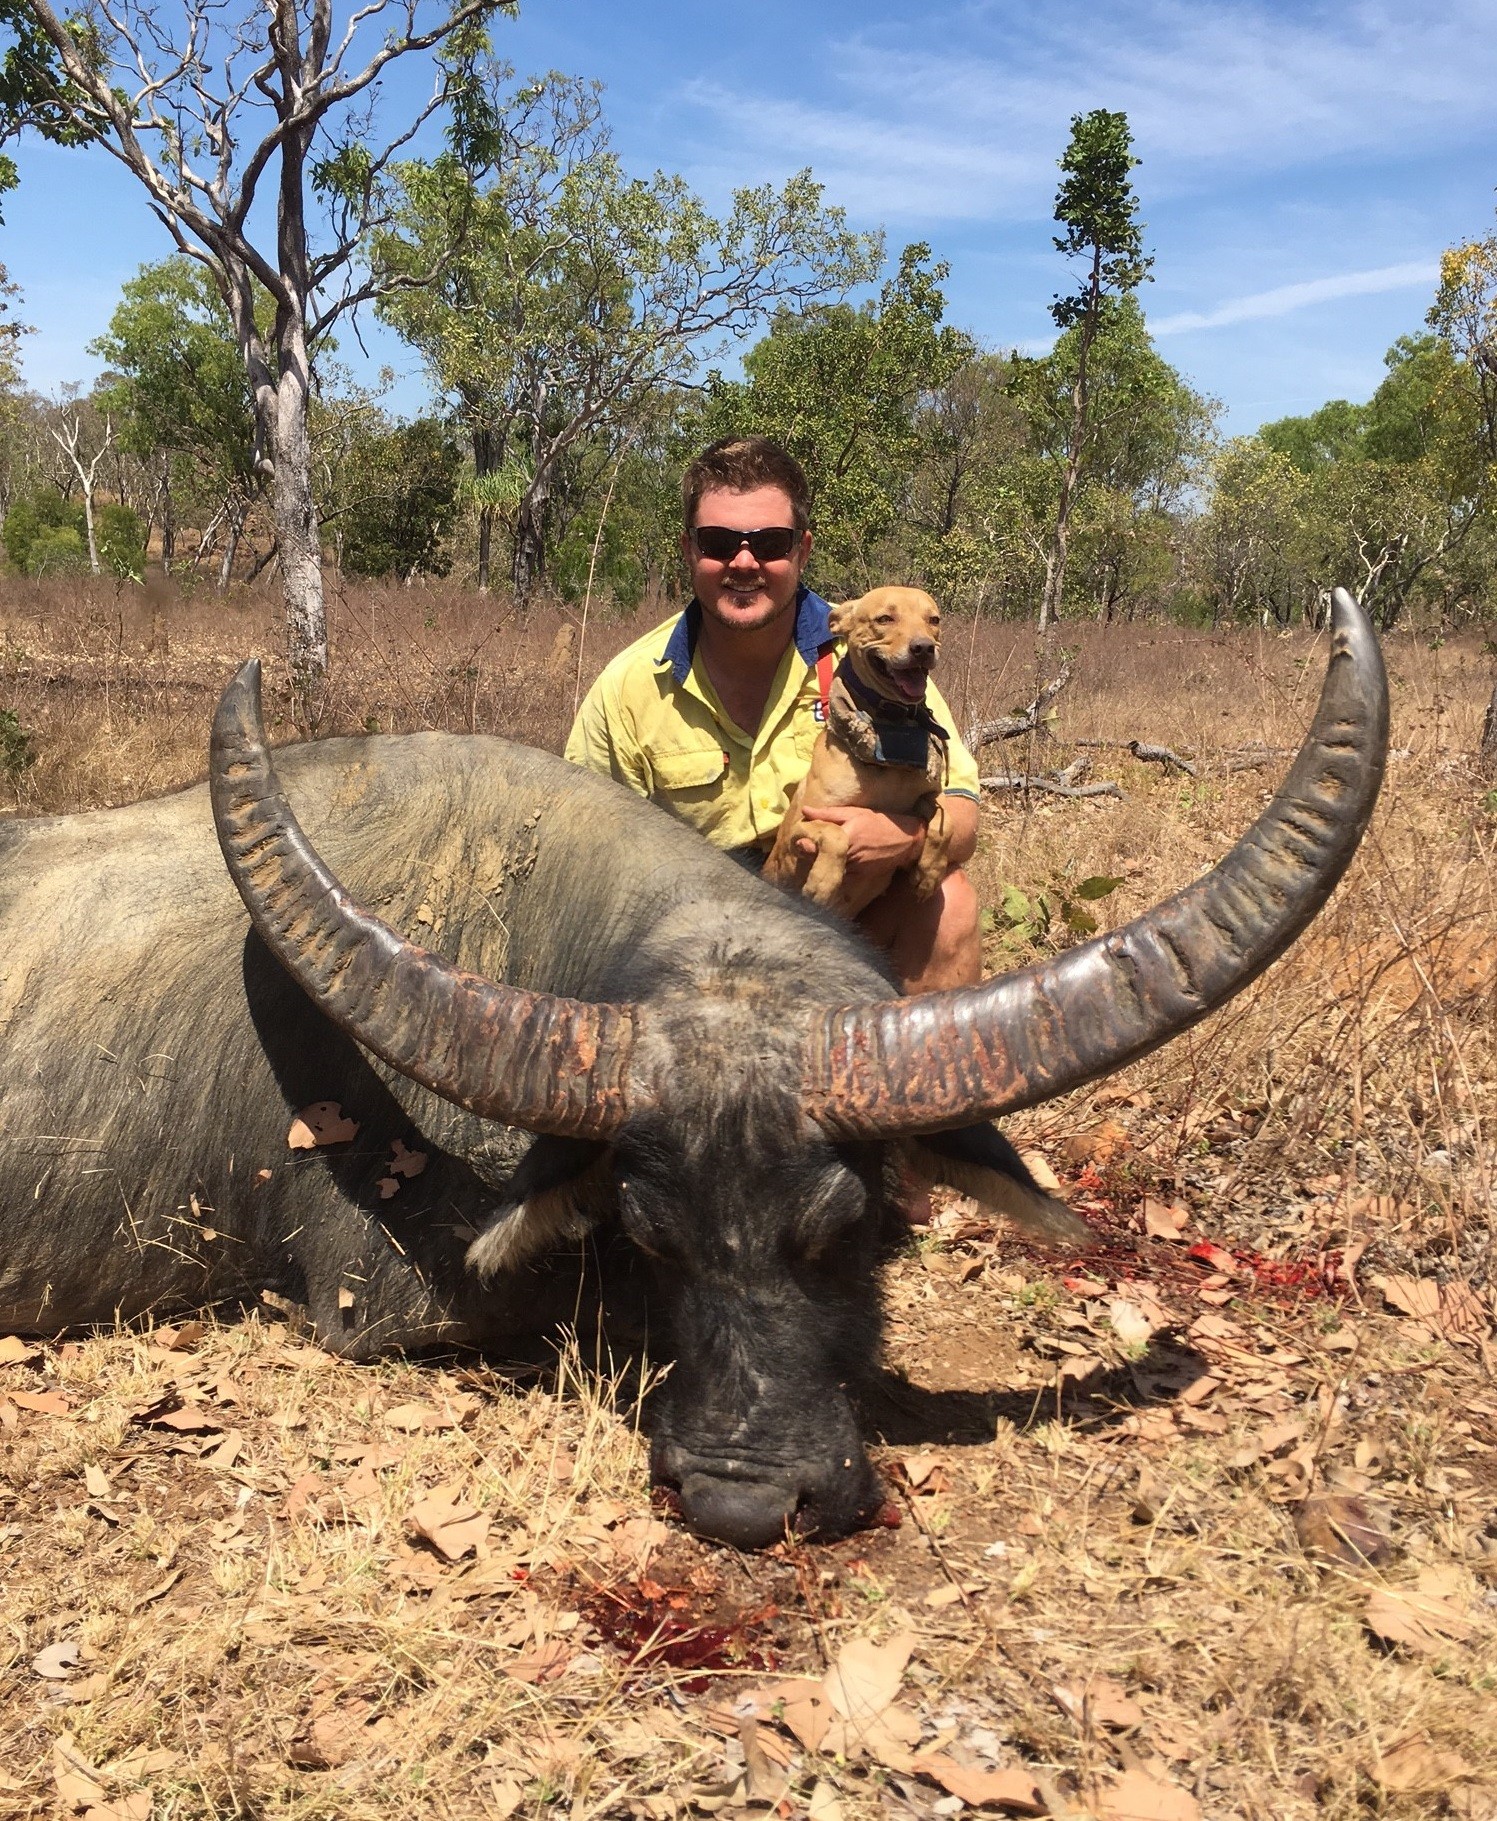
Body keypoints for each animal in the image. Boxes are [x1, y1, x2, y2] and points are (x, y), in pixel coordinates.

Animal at [768, 590, 954, 917]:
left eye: (934, 620)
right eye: (884, 618)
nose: (923, 648)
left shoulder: (928, 797)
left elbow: (949, 822)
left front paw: (930, 872)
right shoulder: (798, 829)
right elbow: (837, 835)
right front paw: (823, 881)